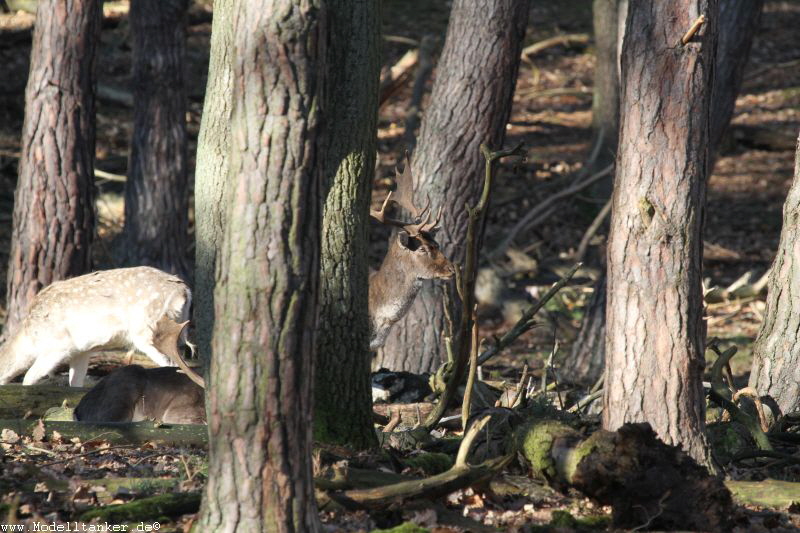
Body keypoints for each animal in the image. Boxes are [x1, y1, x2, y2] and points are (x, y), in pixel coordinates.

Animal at [0, 266, 191, 386]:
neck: (30, 337)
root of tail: (184, 292)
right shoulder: (80, 351)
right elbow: (75, 383)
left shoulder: (58, 346)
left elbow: (28, 378)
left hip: (148, 331)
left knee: (171, 364)